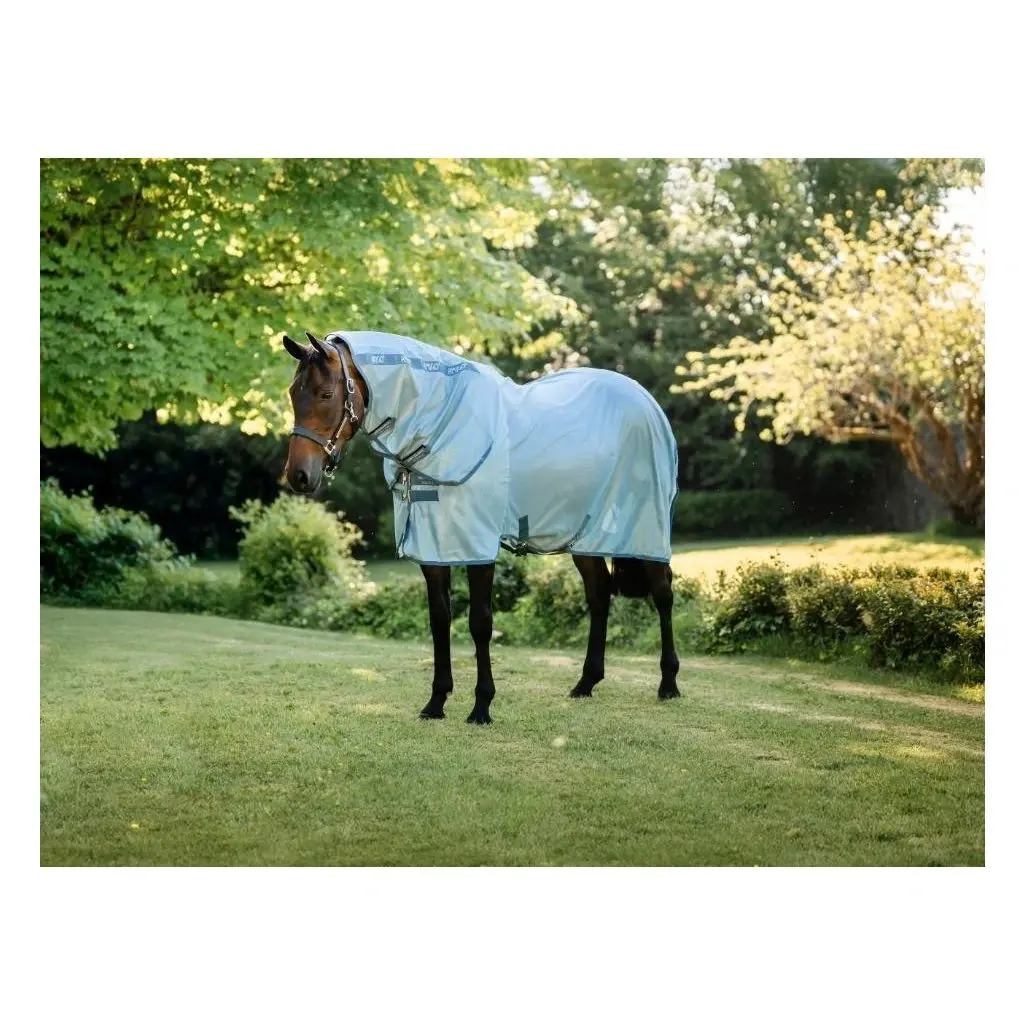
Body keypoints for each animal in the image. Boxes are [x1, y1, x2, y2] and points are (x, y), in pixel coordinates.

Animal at [283, 329, 681, 725]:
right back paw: (586, 683)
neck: (445, 427)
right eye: (292, 393)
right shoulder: (433, 547)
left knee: (662, 594)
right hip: (586, 539)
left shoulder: (477, 545)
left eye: (326, 394)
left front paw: (481, 706)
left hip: (646, 530)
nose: (299, 476)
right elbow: (439, 619)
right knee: (599, 595)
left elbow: (480, 623)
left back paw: (668, 684)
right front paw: (436, 702)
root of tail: (645, 401)